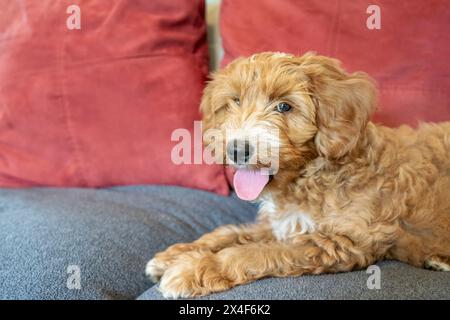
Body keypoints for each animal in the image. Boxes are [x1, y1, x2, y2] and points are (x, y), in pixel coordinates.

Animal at [147, 51, 450, 298]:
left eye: (284, 106)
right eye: (235, 101)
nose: (237, 150)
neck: (309, 177)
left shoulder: (342, 242)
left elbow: (257, 252)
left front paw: (195, 268)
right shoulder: (281, 224)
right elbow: (232, 232)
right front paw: (174, 255)